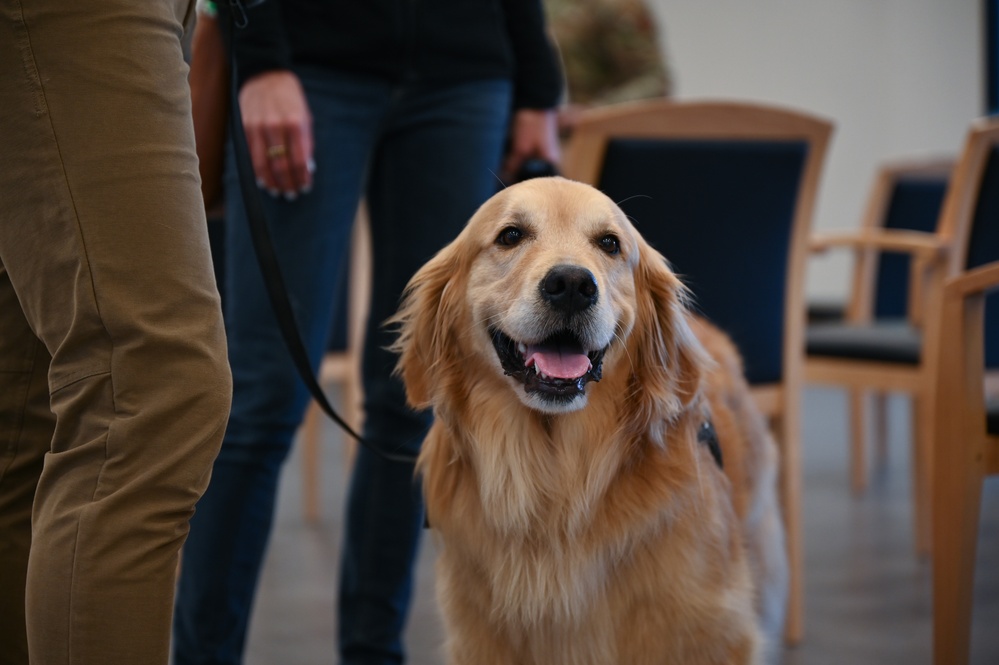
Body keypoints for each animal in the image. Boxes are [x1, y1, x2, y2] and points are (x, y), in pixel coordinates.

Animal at [390, 176, 788, 664]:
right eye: (510, 235)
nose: (571, 284)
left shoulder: (711, 637)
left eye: (609, 243)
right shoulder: (482, 640)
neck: (556, 486)